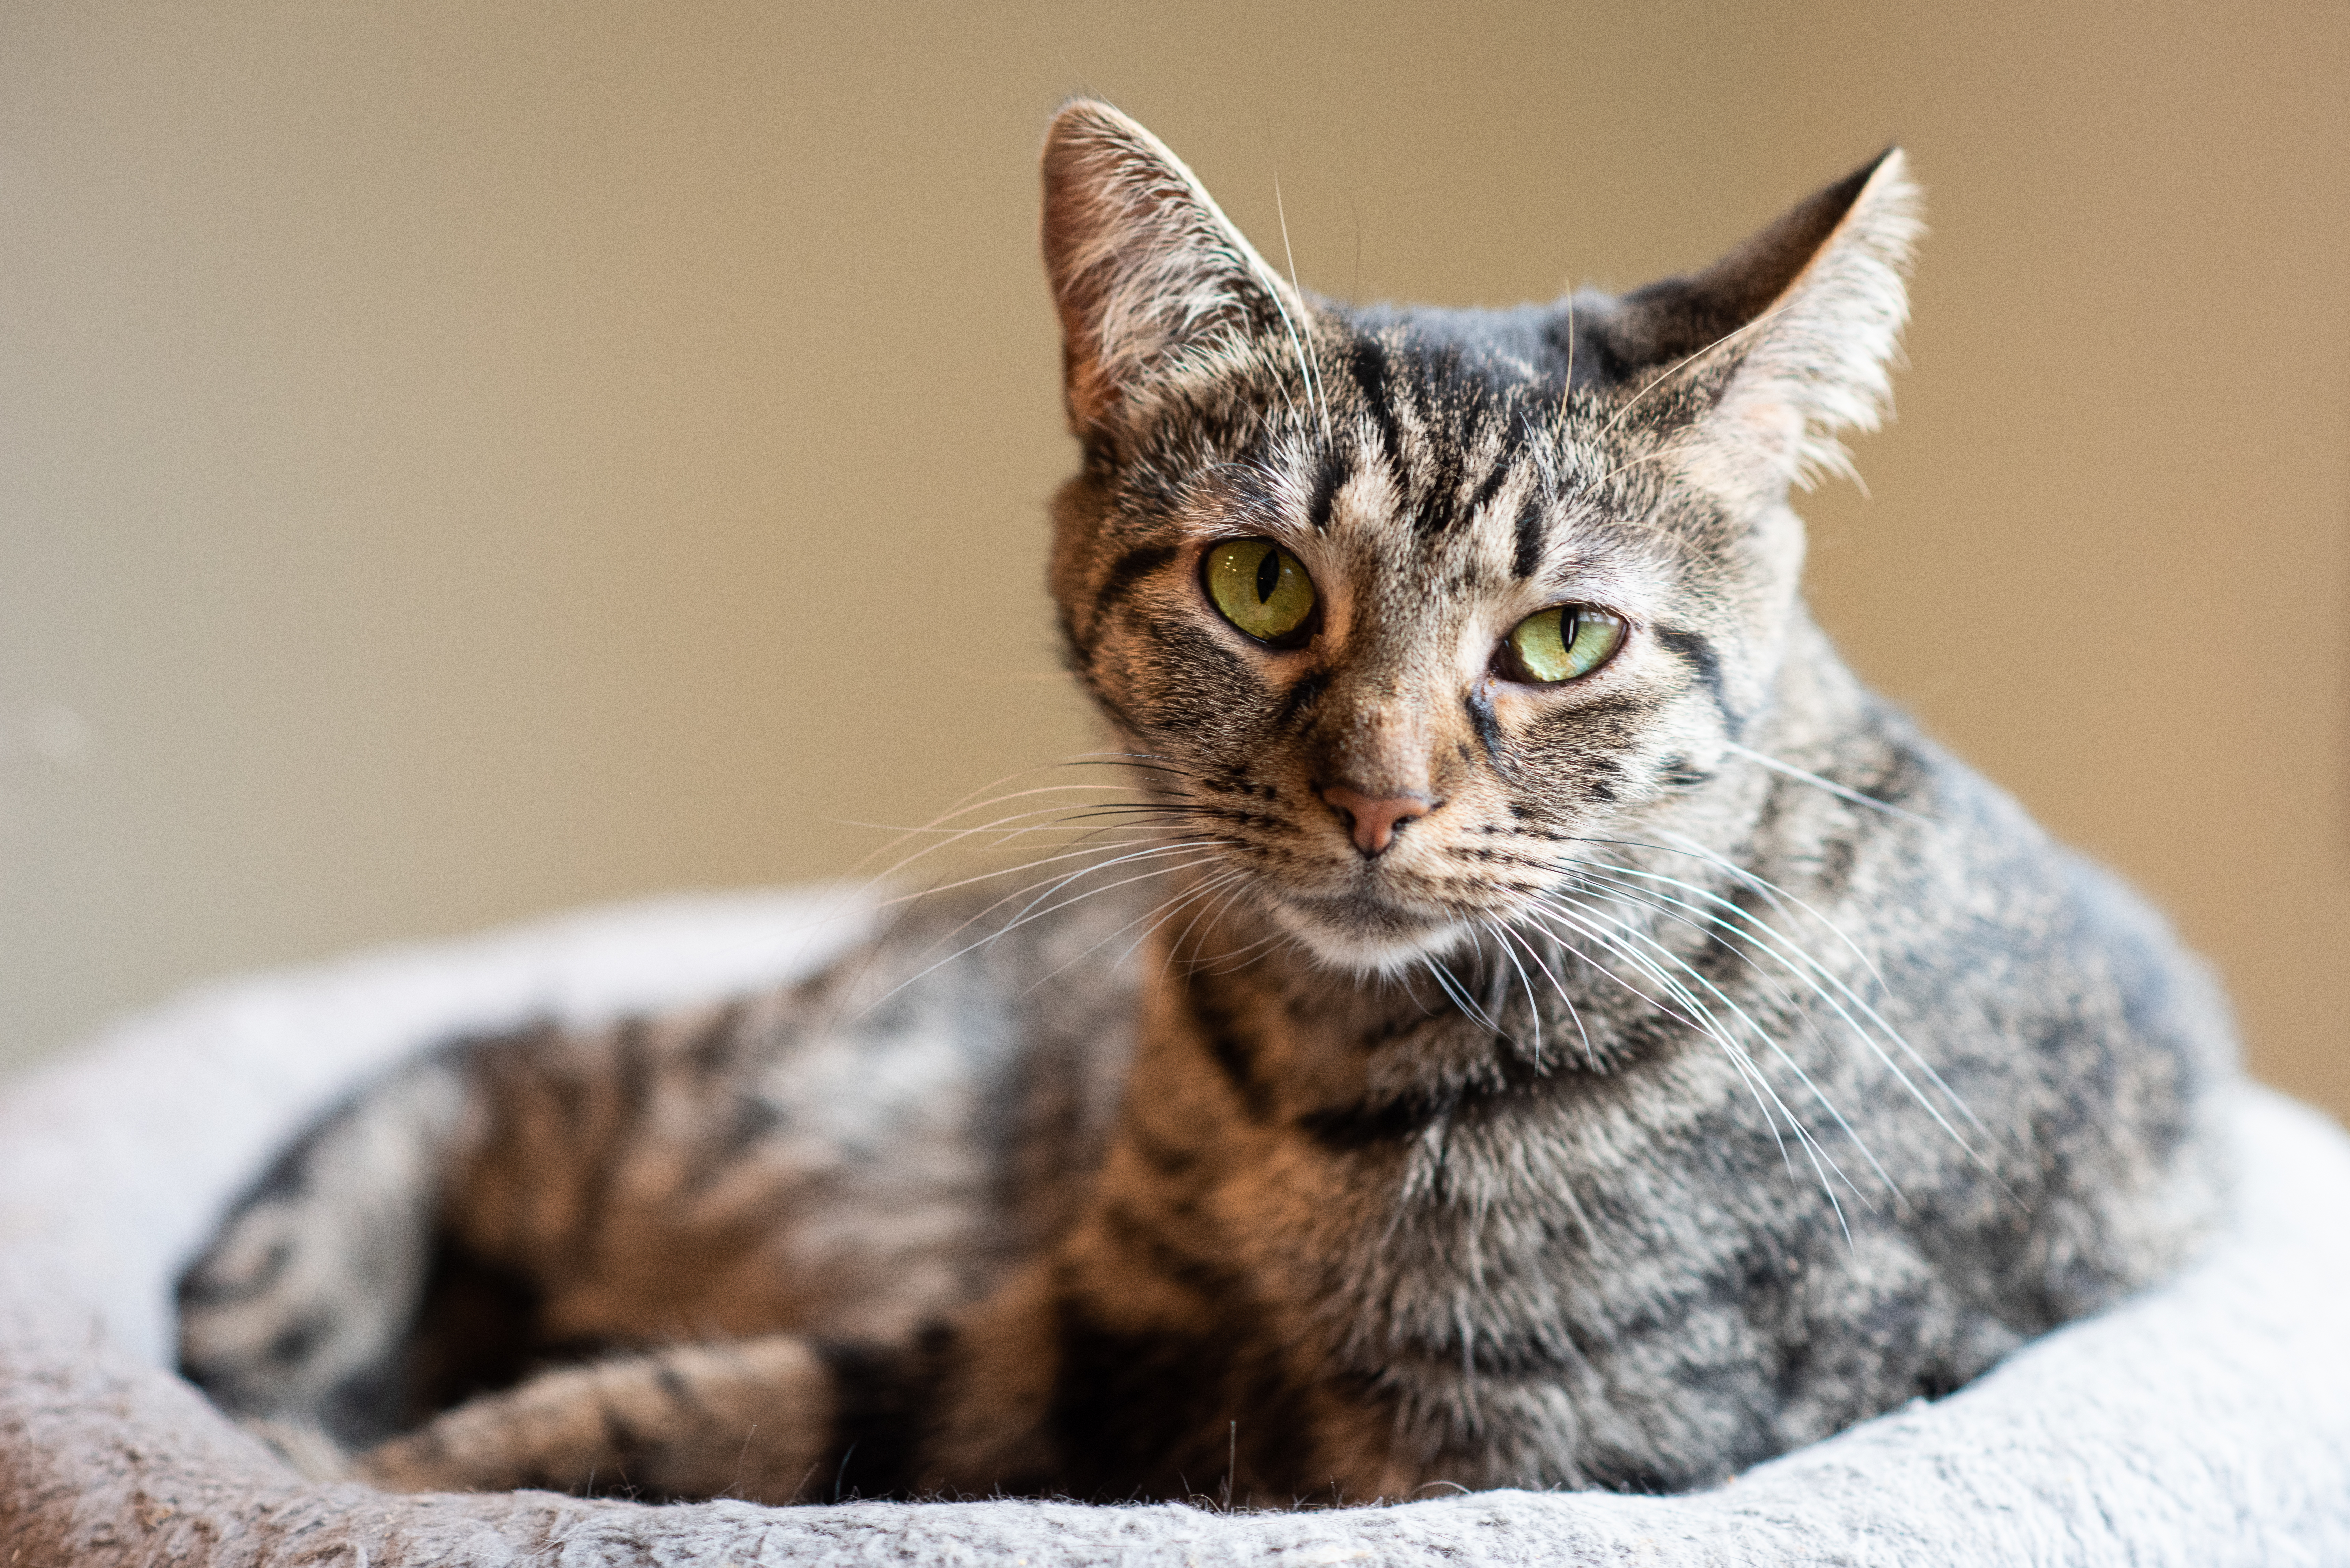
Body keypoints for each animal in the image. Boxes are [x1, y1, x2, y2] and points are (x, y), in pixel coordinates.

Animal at [174, 101, 2228, 1504]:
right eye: (1257, 585)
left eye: (1562, 638)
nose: (1380, 797)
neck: (1307, 1081)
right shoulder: (1108, 1318)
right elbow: (803, 1399)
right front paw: (408, 1466)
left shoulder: (1505, 1455)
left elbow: (794, 1412)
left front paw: (429, 1470)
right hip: (787, 1107)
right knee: (496, 1062)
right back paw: (278, 1339)